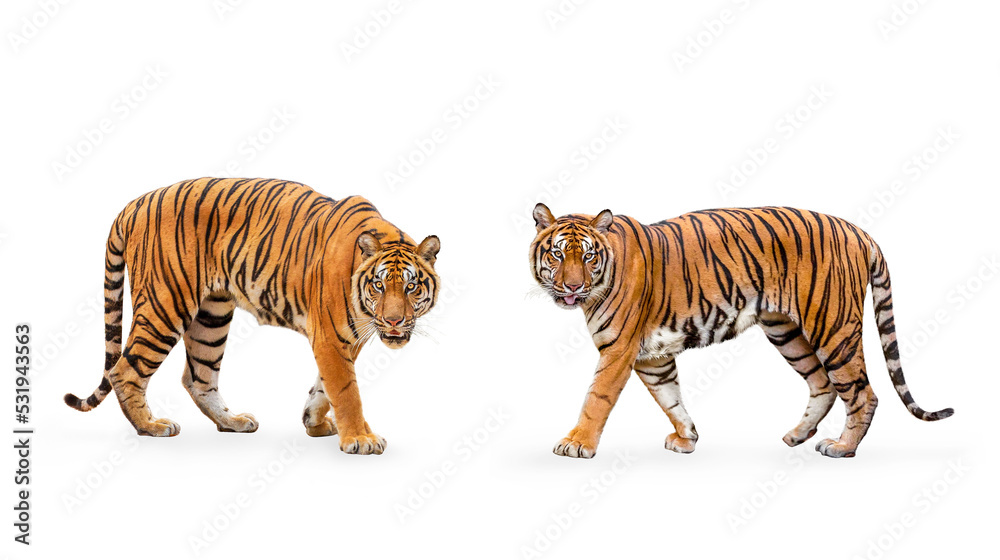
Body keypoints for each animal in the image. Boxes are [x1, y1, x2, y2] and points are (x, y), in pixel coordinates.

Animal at [65, 177, 440, 455]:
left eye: (410, 287)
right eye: (379, 285)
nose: (394, 322)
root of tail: (135, 203)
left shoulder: (346, 339)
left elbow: (324, 386)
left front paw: (314, 422)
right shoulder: (331, 337)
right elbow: (347, 391)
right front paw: (360, 439)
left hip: (211, 316)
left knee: (198, 377)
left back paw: (232, 422)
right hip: (164, 304)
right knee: (124, 370)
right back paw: (151, 426)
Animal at [529, 203, 953, 459]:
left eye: (588, 256)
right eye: (557, 254)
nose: (571, 286)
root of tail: (858, 230)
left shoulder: (619, 350)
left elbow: (597, 398)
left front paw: (576, 443)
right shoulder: (654, 357)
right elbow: (670, 398)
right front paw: (687, 438)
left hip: (833, 328)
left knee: (862, 393)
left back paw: (842, 447)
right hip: (787, 332)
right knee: (823, 385)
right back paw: (797, 436)